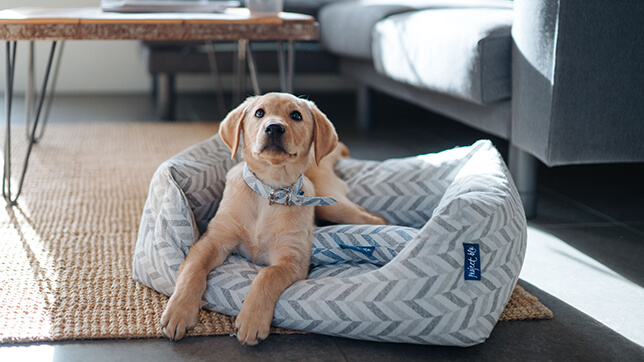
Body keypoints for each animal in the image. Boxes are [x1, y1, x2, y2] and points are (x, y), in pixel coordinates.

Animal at [161, 92, 388, 344]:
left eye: (296, 115)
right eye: (259, 113)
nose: (274, 128)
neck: (269, 190)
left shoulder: (292, 258)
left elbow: (267, 275)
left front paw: (252, 319)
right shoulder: (213, 240)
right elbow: (193, 269)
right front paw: (179, 312)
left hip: (334, 206)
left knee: (376, 219)